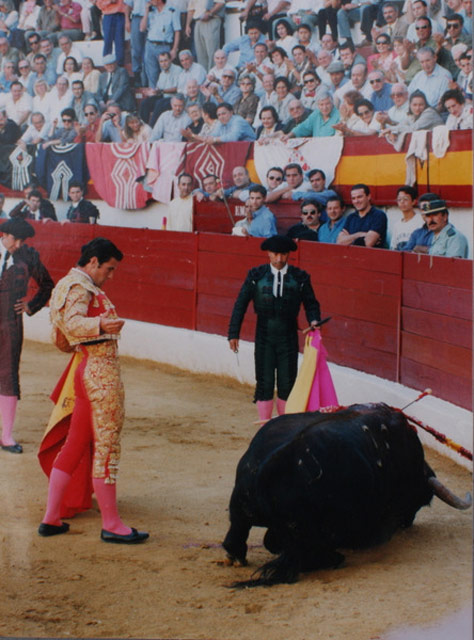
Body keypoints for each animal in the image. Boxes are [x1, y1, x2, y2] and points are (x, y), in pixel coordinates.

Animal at [222, 404, 470, 584]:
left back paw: (236, 557)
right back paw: (334, 558)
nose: (407, 523)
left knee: (237, 534)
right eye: (420, 502)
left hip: (239, 504)